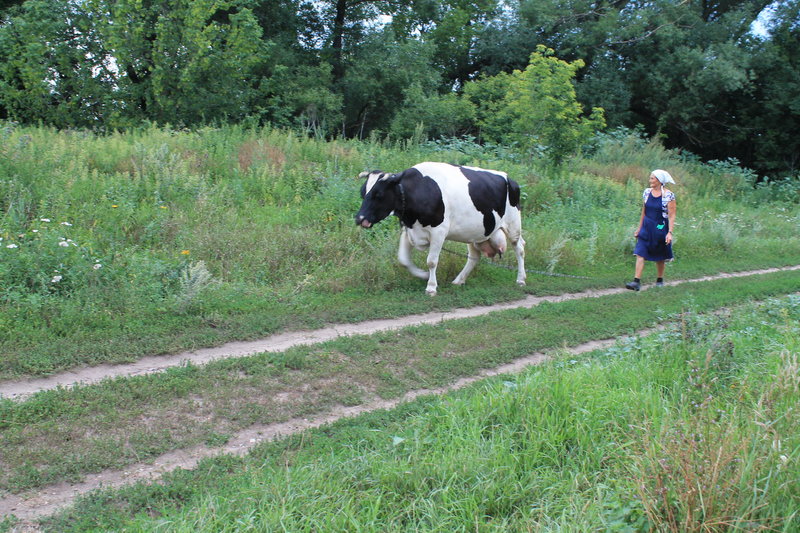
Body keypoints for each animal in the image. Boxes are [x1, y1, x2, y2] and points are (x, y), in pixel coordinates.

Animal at [356, 162, 524, 296]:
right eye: (363, 193)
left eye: (378, 194)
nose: (359, 218)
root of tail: (509, 178)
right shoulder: (409, 230)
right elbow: (403, 260)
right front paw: (423, 275)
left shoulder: (438, 232)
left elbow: (431, 261)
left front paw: (431, 287)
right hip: (474, 232)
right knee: (474, 256)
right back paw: (459, 280)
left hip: (513, 224)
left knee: (519, 248)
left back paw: (521, 279)